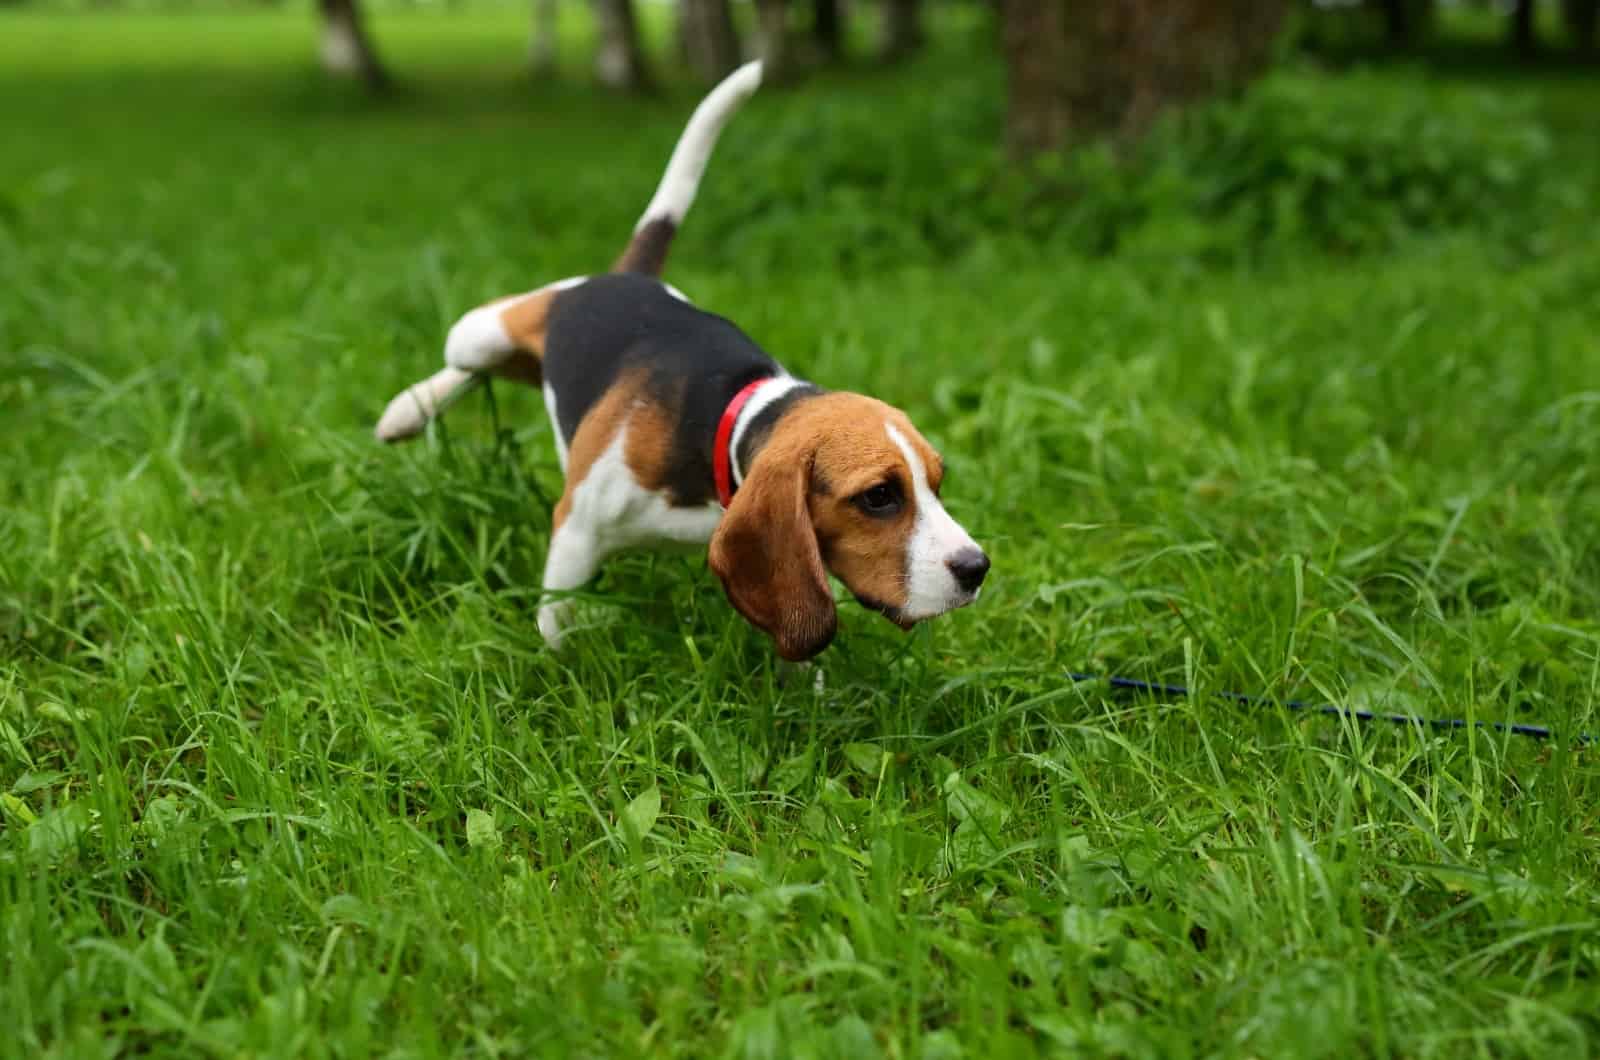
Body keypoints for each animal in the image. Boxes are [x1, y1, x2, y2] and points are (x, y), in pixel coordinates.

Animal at [377, 60, 985, 666]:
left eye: (937, 482)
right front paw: (560, 670)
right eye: (879, 496)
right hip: (482, 331)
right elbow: (556, 620)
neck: (726, 420)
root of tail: (626, 277)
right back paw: (406, 410)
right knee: (466, 358)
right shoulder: (575, 531)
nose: (978, 567)